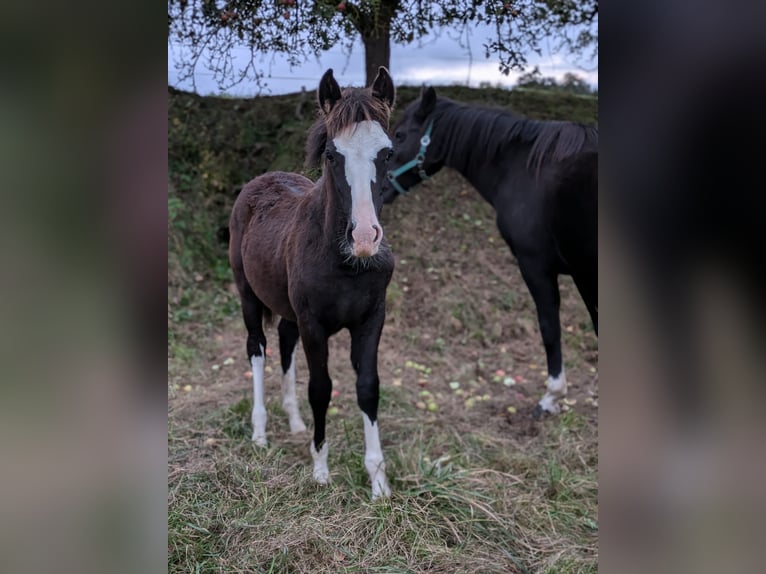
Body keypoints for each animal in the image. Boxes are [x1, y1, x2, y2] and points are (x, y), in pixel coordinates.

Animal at [226, 67, 396, 500]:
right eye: (331, 154)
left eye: (387, 153)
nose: (365, 237)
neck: (346, 263)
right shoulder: (314, 324)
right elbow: (321, 387)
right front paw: (320, 468)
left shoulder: (372, 320)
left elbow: (368, 387)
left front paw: (378, 481)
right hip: (248, 296)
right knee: (258, 349)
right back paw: (260, 433)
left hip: (286, 309)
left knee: (285, 346)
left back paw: (295, 422)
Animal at [384, 85, 600, 418]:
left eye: (399, 134)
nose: (374, 188)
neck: (524, 169)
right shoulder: (582, 273)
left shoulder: (537, 266)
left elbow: (550, 327)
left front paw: (552, 397)